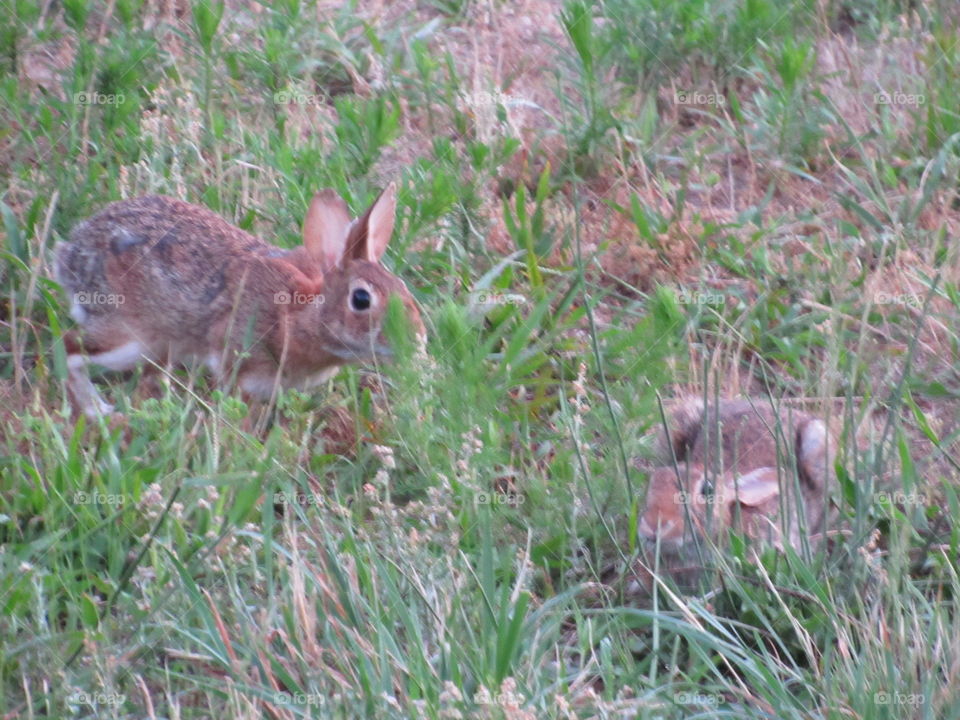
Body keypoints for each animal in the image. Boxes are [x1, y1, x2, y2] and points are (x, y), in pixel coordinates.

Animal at [55, 184, 424, 418]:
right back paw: (98, 411)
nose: (418, 339)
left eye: (402, 287)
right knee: (70, 346)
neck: (298, 314)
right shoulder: (236, 364)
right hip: (132, 338)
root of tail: (74, 253)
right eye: (361, 299)